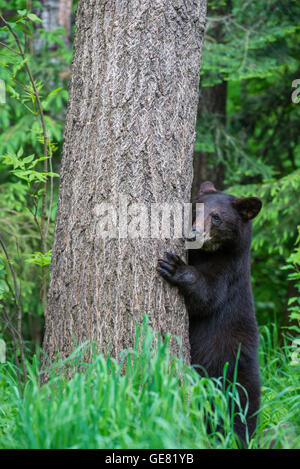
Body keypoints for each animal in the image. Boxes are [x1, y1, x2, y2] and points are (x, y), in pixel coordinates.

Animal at [157, 179, 262, 442]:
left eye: (216, 217)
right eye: (195, 210)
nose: (193, 232)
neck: (207, 253)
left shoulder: (228, 273)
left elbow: (206, 297)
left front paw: (174, 266)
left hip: (232, 376)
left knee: (240, 412)